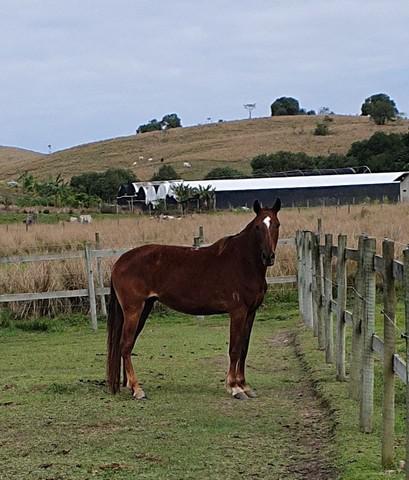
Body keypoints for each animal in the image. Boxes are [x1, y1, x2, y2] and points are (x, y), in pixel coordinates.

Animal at [107, 197, 280, 400]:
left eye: (276, 224)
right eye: (258, 227)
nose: (268, 256)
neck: (243, 263)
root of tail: (119, 262)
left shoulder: (251, 312)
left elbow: (244, 349)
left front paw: (245, 385)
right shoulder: (238, 312)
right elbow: (235, 349)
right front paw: (235, 387)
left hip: (144, 308)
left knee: (127, 345)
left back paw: (129, 385)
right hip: (133, 310)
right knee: (125, 346)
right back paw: (137, 389)